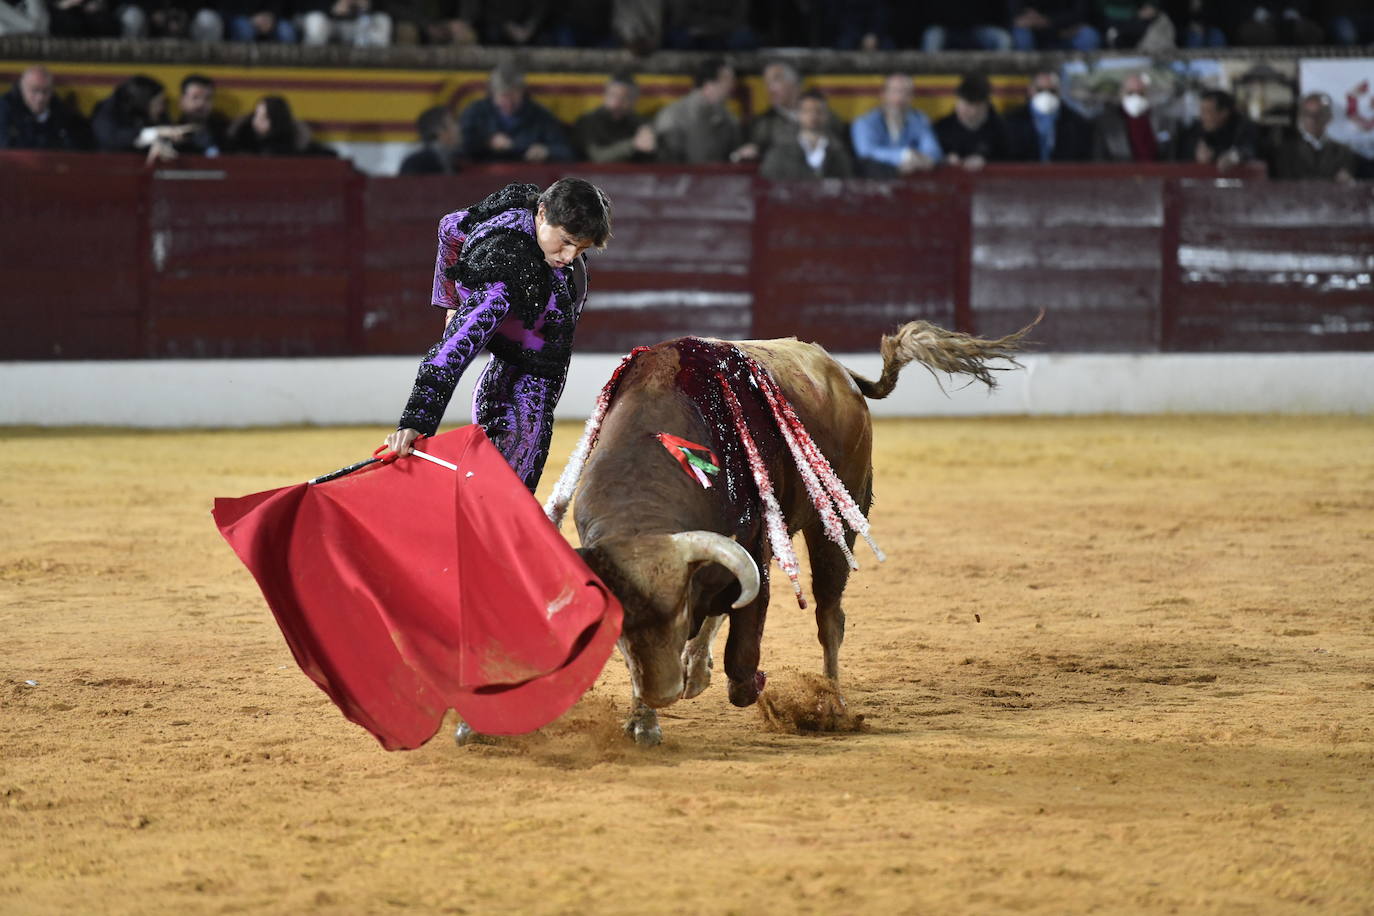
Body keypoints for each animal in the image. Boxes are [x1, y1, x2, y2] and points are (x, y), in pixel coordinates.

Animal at [566, 318, 1033, 747]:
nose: (662, 694)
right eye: (621, 625)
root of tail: (842, 374)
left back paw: (834, 705)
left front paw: (751, 687)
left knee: (830, 616)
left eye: (679, 613)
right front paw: (643, 721)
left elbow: (743, 654)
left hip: (840, 517)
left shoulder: (756, 545)